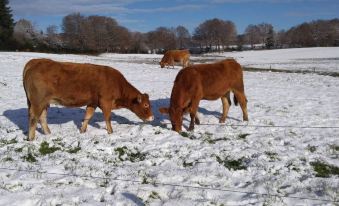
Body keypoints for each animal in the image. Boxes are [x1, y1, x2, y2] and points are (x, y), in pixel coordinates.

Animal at [21, 58, 153, 141]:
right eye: (146, 105)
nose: (152, 117)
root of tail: (34, 61)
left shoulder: (92, 102)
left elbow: (88, 116)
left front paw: (83, 131)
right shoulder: (106, 101)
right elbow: (108, 118)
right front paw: (111, 132)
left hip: (43, 102)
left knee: (42, 117)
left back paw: (48, 134)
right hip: (38, 101)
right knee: (34, 118)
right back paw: (31, 138)